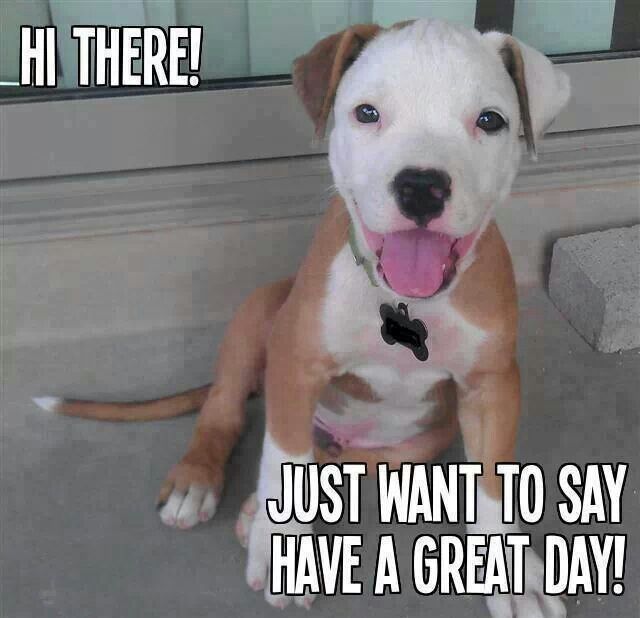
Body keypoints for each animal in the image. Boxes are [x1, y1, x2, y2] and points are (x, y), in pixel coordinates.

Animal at [36, 19, 568, 616]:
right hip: (260, 311)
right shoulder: (294, 359)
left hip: (412, 446)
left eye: (490, 120)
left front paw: (515, 577)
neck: (405, 300)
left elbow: (494, 483)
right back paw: (200, 482)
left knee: (335, 462)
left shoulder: (492, 386)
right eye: (366, 113)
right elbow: (281, 453)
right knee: (229, 414)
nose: (421, 186)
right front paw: (279, 545)